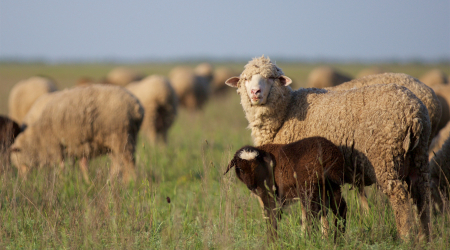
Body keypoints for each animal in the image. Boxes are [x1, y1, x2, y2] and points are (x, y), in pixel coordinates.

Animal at [9, 84, 143, 184]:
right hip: (115, 141)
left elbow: (61, 166)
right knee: (118, 163)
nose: (22, 180)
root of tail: (137, 107)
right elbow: (78, 166)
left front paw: (63, 182)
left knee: (128, 162)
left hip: (121, 137)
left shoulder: (55, 145)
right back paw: (113, 181)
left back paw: (131, 182)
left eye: (20, 165)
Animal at [227, 55, 430, 239]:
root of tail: (414, 112)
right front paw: (323, 235)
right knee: (422, 196)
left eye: (271, 77)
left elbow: (307, 210)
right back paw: (424, 237)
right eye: (246, 79)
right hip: (418, 157)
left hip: (385, 158)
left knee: (399, 198)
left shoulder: (302, 174)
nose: (255, 92)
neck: (286, 113)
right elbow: (321, 210)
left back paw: (406, 237)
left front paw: (307, 235)